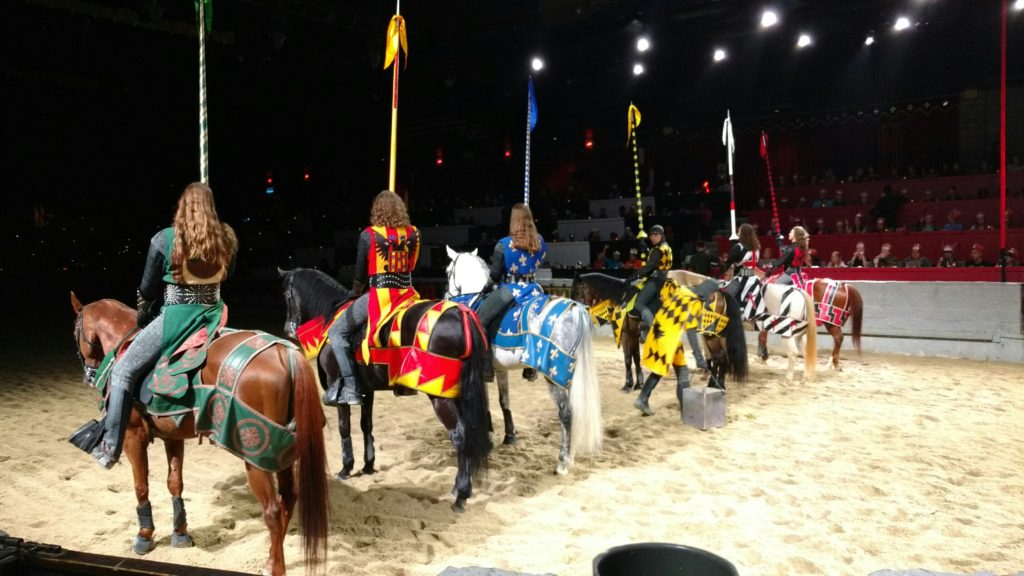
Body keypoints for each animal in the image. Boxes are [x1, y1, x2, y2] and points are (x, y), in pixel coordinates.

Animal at [70, 292, 327, 576]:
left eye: (74, 332)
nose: (88, 375)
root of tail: (285, 354)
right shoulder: (173, 437)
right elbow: (175, 483)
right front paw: (180, 533)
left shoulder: (132, 436)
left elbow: (141, 486)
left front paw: (144, 535)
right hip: (282, 453)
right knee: (289, 498)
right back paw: (273, 556)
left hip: (256, 458)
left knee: (272, 510)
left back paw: (273, 566)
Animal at [278, 268, 492, 512]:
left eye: (286, 296)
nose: (287, 329)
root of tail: (461, 314)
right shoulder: (366, 390)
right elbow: (366, 426)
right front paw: (368, 465)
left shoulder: (338, 389)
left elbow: (344, 428)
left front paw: (346, 468)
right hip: (458, 394)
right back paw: (458, 487)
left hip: (439, 396)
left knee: (460, 436)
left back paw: (461, 494)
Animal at [443, 247, 603, 475]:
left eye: (448, 271)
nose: (446, 295)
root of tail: (575, 308)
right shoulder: (499, 370)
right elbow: (504, 401)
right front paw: (509, 435)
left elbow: (485, 403)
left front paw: (488, 439)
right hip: (570, 374)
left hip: (554, 375)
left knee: (567, 414)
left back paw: (563, 463)